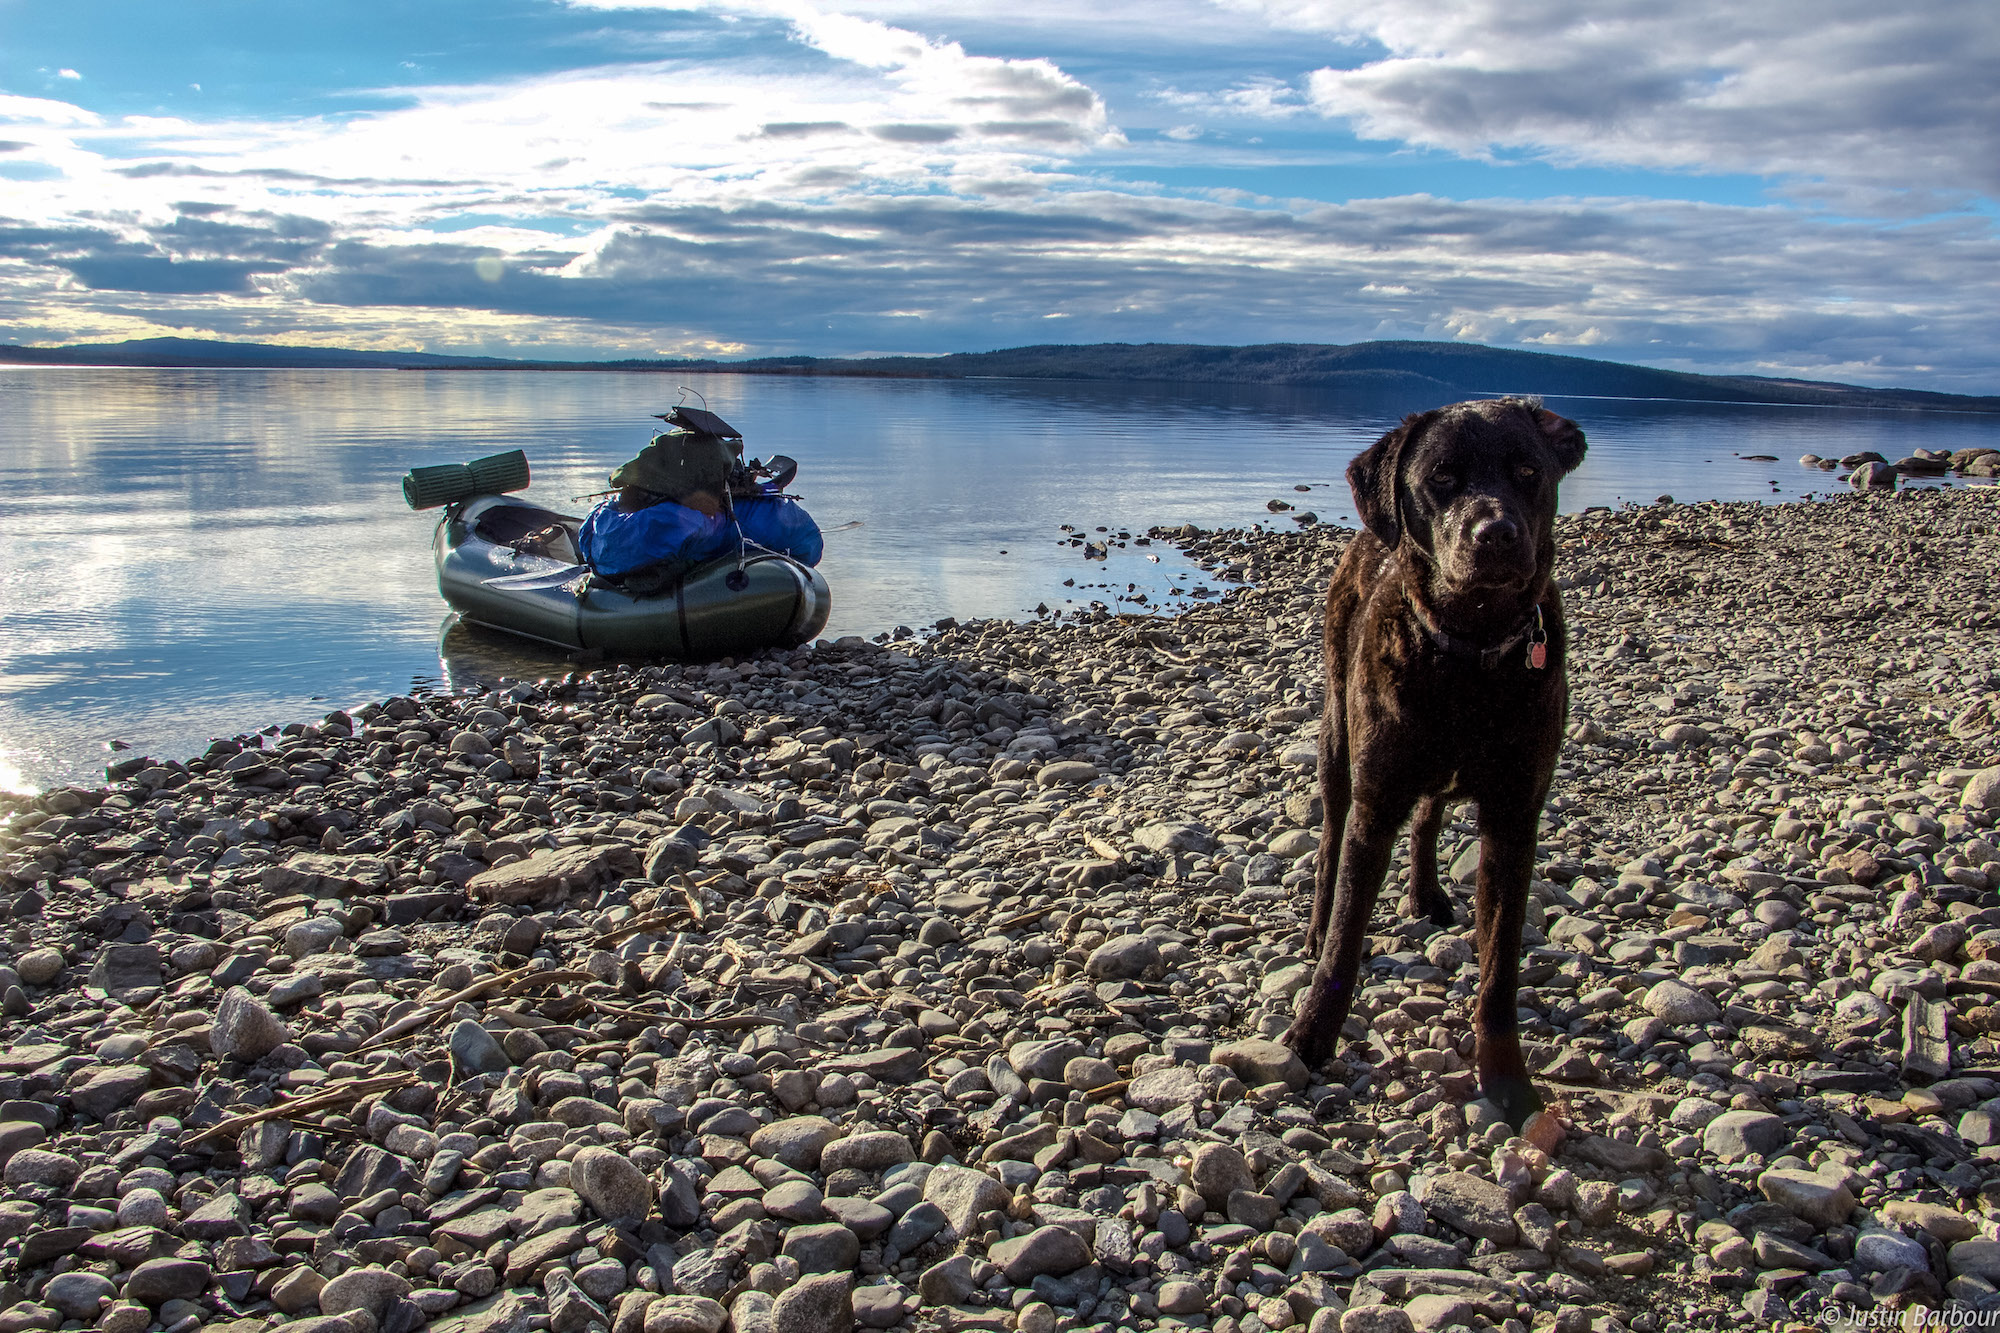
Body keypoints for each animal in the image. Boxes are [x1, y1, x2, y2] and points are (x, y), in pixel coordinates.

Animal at [1280, 400, 1592, 1128]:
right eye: (1441, 477)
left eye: (1529, 471)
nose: (1496, 533)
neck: (1470, 651)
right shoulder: (1375, 803)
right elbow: (1345, 942)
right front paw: (1310, 1036)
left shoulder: (1514, 817)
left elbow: (1501, 969)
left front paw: (1508, 1082)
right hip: (1338, 740)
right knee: (1330, 836)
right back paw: (1316, 921)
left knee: (1429, 815)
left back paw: (1425, 893)